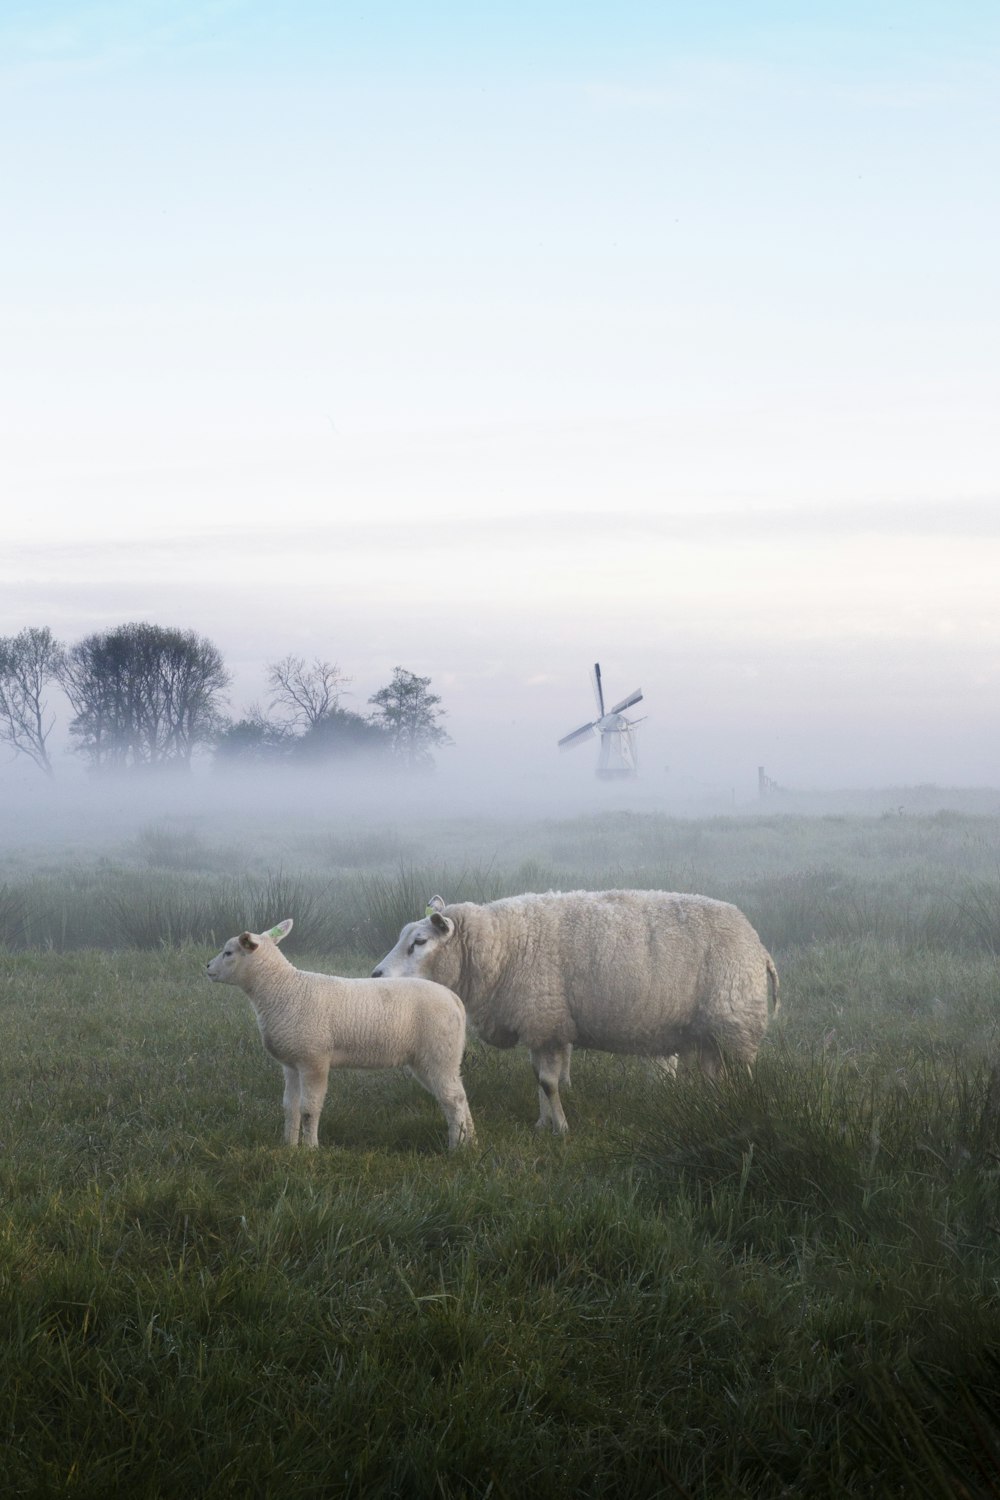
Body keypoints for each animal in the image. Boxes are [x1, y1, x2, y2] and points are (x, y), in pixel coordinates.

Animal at [203, 912, 476, 1146]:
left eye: (228, 952)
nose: (206, 968)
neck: (282, 989)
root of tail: (454, 999)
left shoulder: (314, 1060)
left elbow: (309, 1110)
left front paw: (310, 1149)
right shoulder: (291, 1064)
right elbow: (290, 1108)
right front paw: (288, 1146)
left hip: (439, 1054)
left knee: (454, 1100)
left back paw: (457, 1147)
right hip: (434, 1059)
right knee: (460, 1096)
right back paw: (470, 1142)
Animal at [371, 888, 779, 1134]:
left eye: (419, 942)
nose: (376, 975)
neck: (502, 947)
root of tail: (757, 943)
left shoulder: (547, 1021)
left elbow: (550, 1082)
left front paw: (562, 1129)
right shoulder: (540, 1026)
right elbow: (539, 1079)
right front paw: (542, 1124)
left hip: (736, 1021)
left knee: (743, 1075)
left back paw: (739, 1110)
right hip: (710, 1033)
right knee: (715, 1076)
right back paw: (713, 1107)